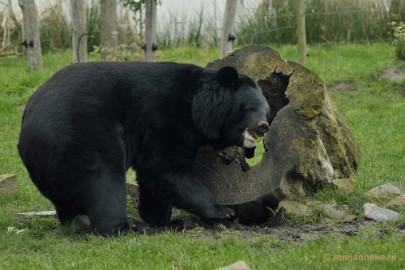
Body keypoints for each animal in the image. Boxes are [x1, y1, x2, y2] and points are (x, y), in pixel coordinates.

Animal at [17, 62, 270, 235]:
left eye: (266, 111)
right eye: (250, 108)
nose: (264, 126)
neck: (196, 107)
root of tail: (30, 130)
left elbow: (155, 181)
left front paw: (164, 220)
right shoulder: (165, 120)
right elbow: (164, 170)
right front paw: (224, 211)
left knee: (66, 200)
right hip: (83, 139)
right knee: (103, 185)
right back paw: (126, 228)